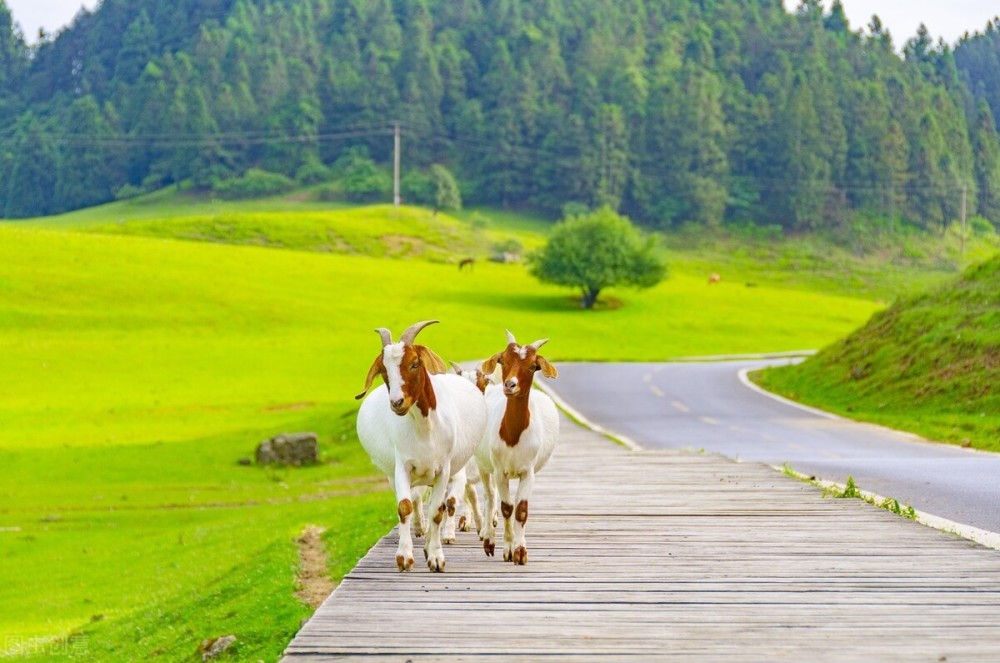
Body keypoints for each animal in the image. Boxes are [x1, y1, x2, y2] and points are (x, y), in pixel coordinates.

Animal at [356, 320, 488, 572]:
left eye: (415, 363)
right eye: (383, 371)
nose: (397, 402)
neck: (425, 428)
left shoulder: (444, 470)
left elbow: (439, 509)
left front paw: (436, 556)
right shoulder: (402, 467)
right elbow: (405, 507)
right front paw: (404, 557)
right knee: (416, 502)